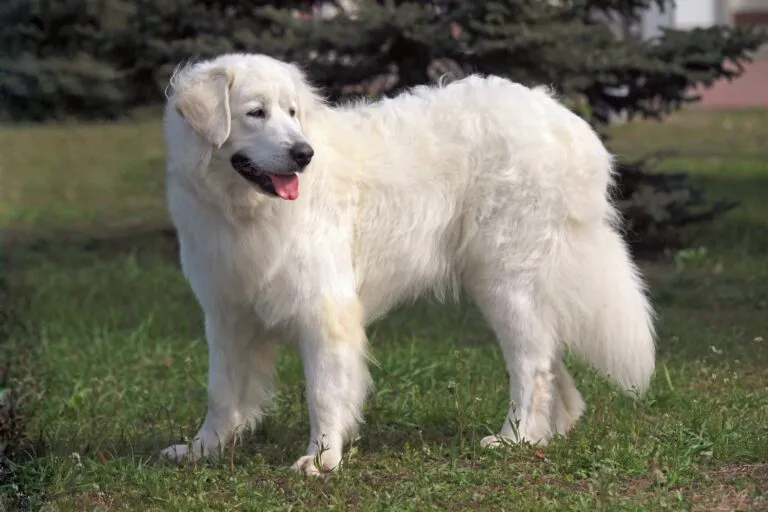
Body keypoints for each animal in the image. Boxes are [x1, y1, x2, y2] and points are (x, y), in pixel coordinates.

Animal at [160, 53, 656, 476]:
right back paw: (546, 434)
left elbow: (323, 390)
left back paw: (514, 439)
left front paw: (321, 457)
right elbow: (222, 392)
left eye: (292, 112)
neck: (244, 211)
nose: (304, 154)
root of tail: (566, 121)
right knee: (550, 361)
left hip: (505, 280)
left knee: (532, 365)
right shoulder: (227, 314)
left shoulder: (324, 309)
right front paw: (202, 449)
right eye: (256, 112)